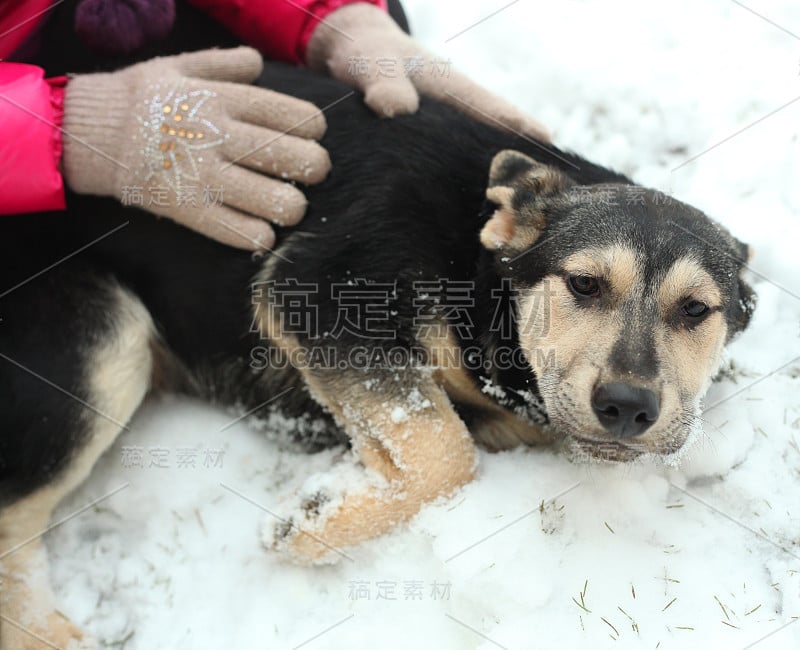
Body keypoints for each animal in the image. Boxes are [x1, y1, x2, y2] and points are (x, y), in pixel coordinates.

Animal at [0, 57, 756, 648]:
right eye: (584, 284)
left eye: (696, 311)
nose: (627, 407)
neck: (477, 272)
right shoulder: (317, 289)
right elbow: (443, 448)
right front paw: (312, 525)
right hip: (102, 344)